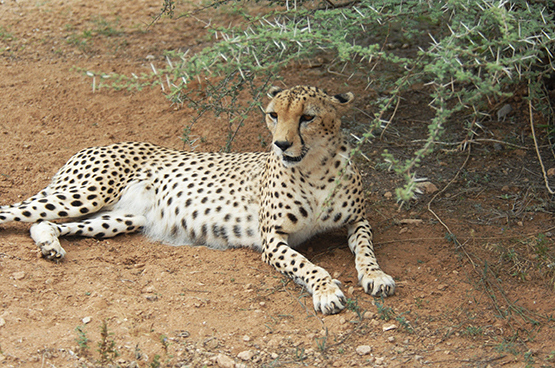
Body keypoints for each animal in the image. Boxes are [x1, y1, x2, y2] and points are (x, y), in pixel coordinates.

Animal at [2, 85, 398, 314]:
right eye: (273, 115)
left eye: (308, 117)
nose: (281, 144)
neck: (314, 166)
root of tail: (97, 144)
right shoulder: (272, 239)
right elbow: (307, 265)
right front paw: (326, 290)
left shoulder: (358, 220)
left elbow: (365, 249)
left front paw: (375, 275)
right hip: (84, 193)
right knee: (14, 211)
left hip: (122, 217)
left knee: (44, 223)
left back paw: (49, 245)